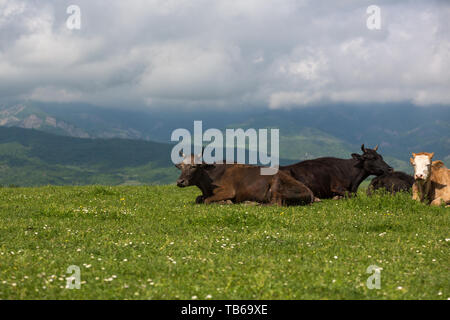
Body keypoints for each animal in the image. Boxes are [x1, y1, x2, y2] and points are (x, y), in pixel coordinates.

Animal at [174, 154, 314, 205]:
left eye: (194, 166)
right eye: (181, 167)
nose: (180, 182)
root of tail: (311, 194)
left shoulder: (228, 191)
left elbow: (207, 200)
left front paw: (226, 202)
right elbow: (199, 199)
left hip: (276, 184)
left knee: (275, 203)